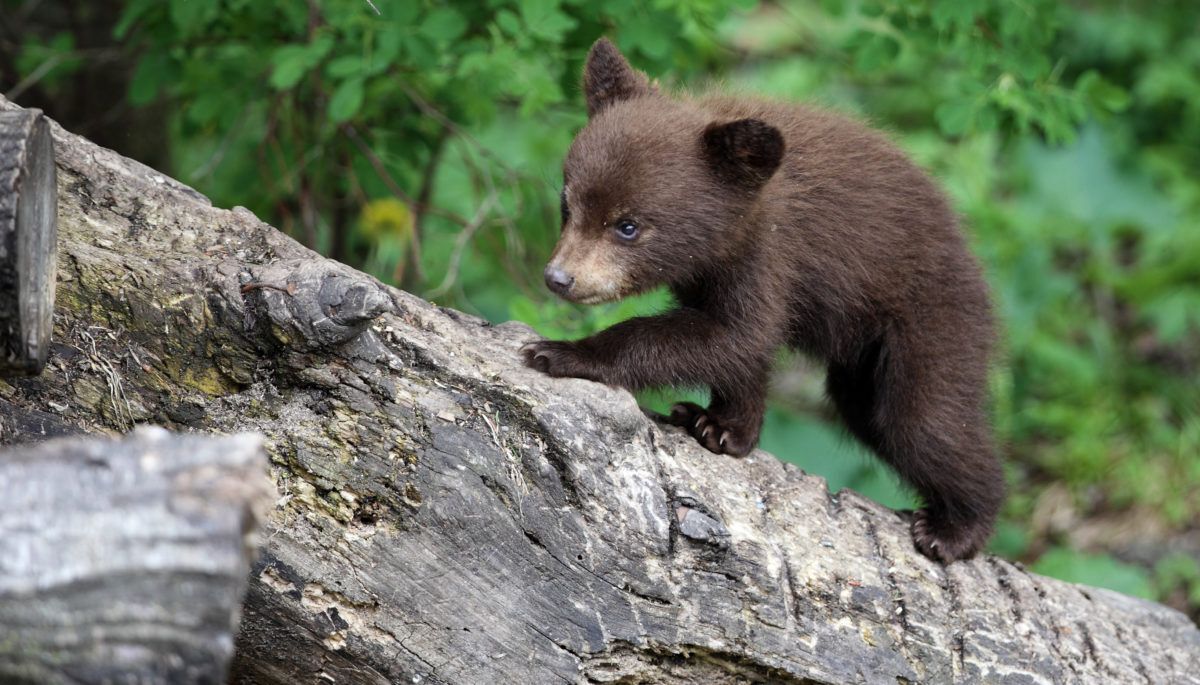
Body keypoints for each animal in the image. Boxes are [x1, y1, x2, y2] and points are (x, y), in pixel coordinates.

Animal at [522, 37, 1003, 563]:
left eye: (627, 226)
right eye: (567, 204)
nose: (559, 277)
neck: (727, 235)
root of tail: (973, 260)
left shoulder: (771, 254)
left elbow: (736, 335)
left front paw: (561, 351)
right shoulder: (712, 273)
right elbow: (738, 348)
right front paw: (721, 425)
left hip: (931, 317)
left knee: (922, 421)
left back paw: (954, 529)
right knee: (868, 411)